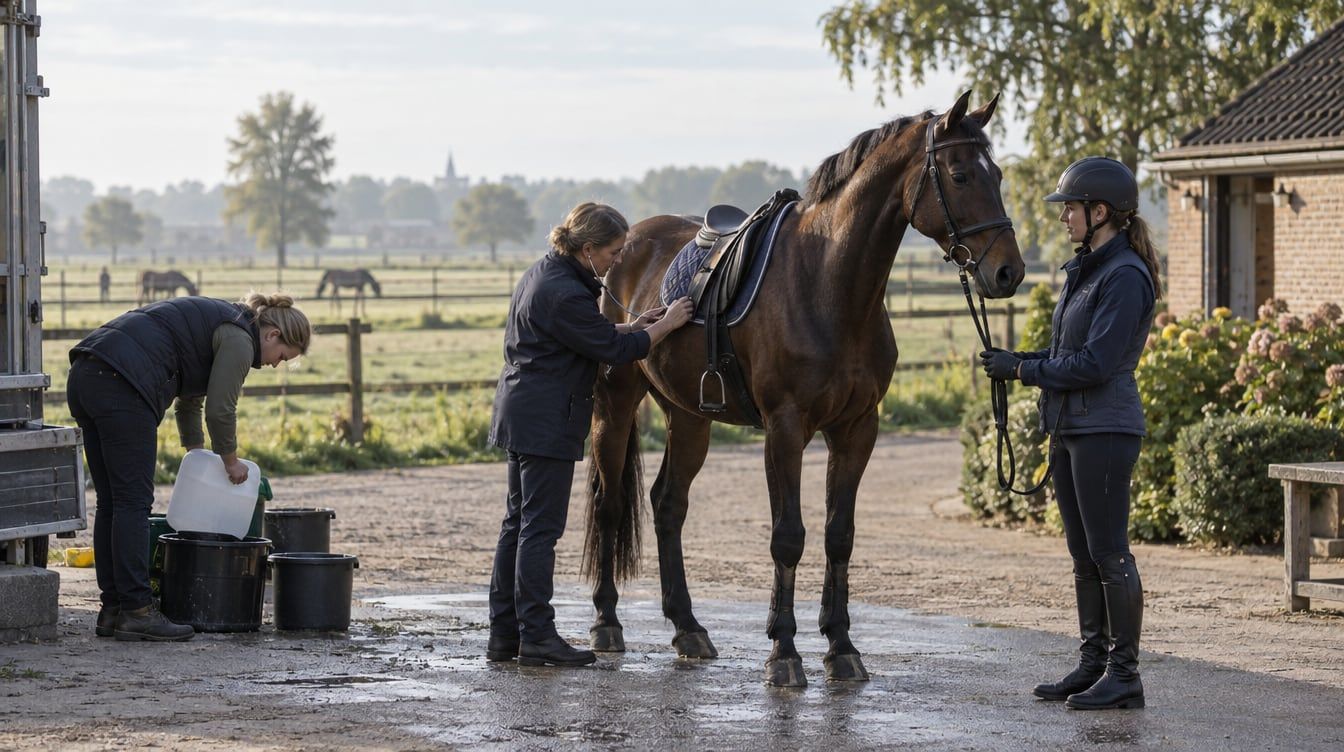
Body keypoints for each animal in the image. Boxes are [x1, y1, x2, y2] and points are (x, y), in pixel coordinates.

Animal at [582, 92, 1024, 687]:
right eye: (959, 174)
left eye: (996, 173)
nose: (1008, 272)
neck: (827, 284)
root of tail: (626, 246)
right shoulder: (785, 429)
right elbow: (788, 536)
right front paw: (784, 652)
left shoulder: (857, 429)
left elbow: (839, 534)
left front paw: (841, 647)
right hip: (616, 404)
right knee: (609, 505)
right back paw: (607, 623)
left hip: (690, 415)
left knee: (668, 505)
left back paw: (688, 628)